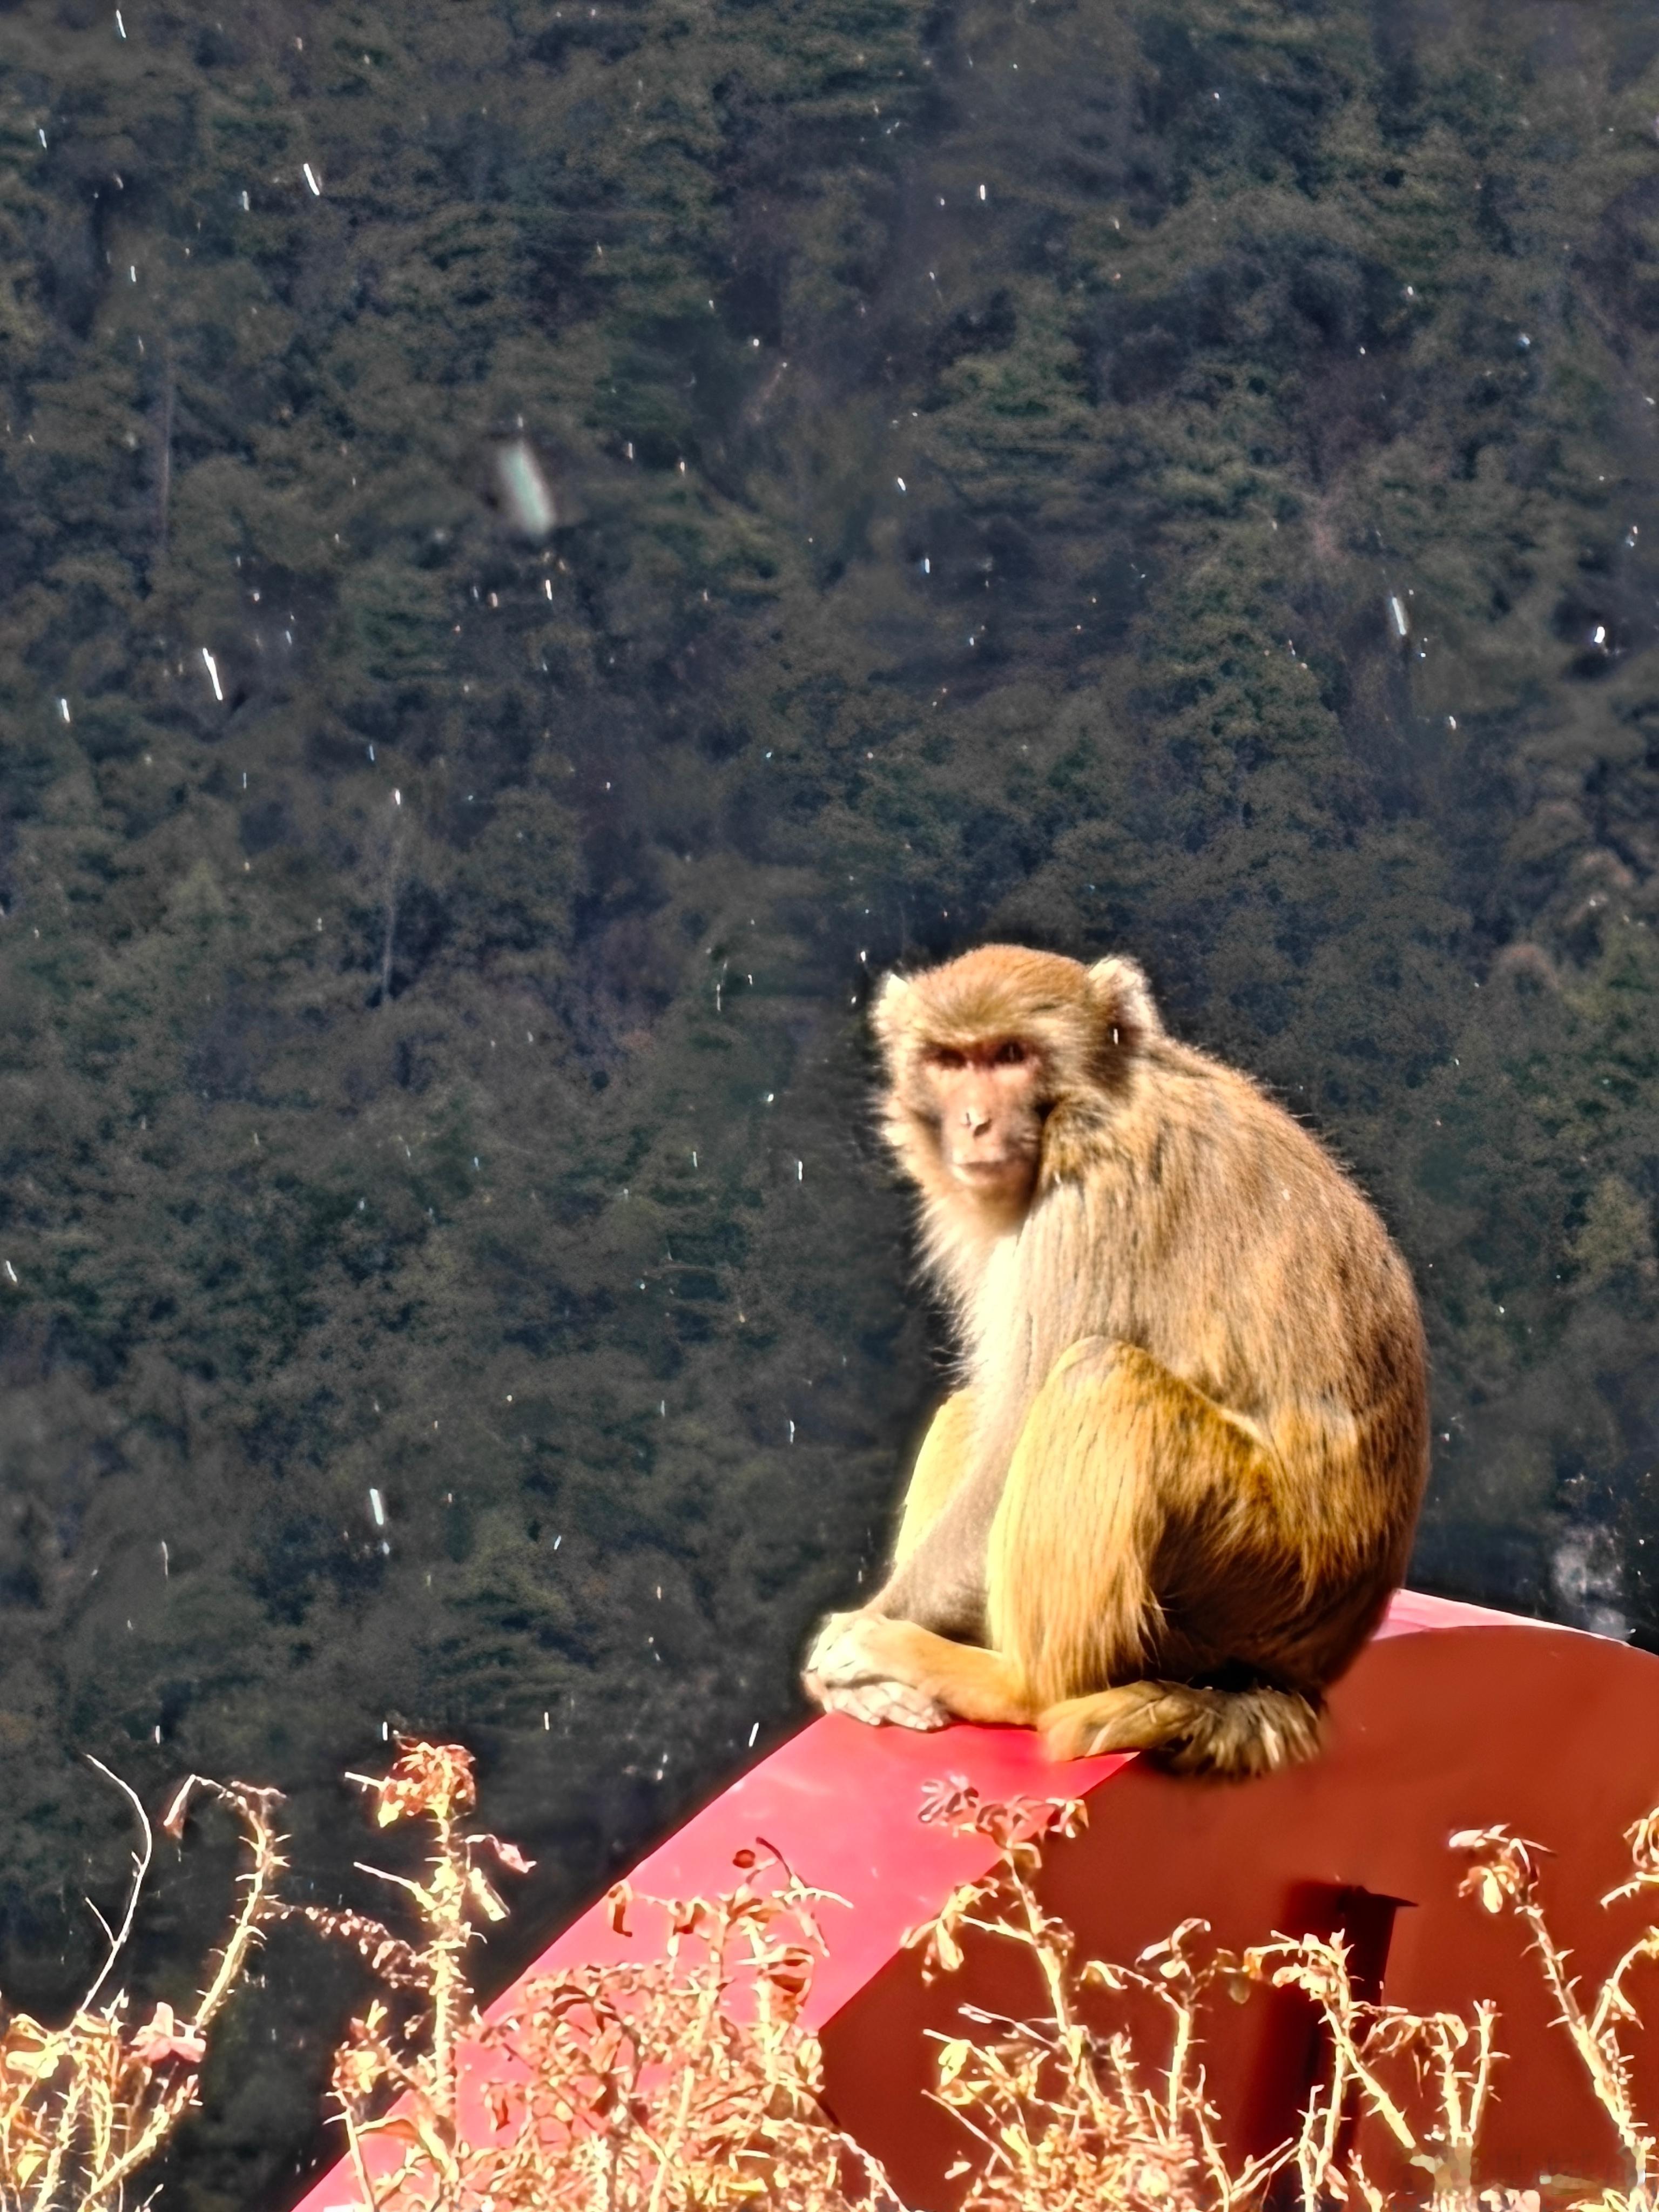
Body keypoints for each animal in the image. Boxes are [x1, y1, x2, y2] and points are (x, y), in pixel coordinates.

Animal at [805, 942, 1433, 1769]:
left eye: (1010, 1055)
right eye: (951, 1060)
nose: (975, 1122)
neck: (1085, 1109)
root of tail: (1297, 1670)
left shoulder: (1090, 1206)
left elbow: (1016, 1436)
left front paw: (856, 1637)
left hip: (1255, 1569)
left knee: (1098, 1378)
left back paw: (1008, 1680)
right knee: (983, 1404)